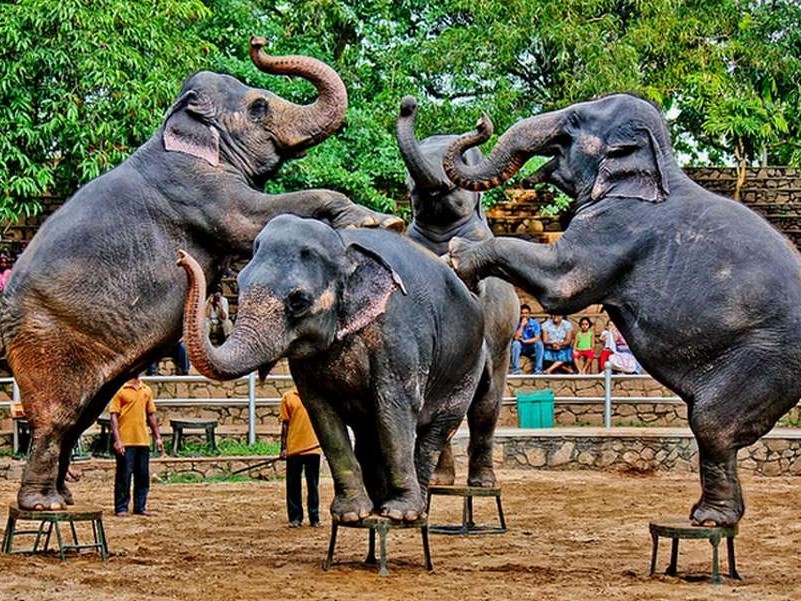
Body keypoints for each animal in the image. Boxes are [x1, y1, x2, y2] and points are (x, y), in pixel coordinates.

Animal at [0, 36, 400, 510]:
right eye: (259, 107)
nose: (258, 41)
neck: (173, 129)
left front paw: (381, 222)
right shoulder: (196, 188)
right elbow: (252, 218)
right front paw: (384, 221)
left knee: (82, 414)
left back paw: (64, 496)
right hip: (44, 341)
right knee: (56, 419)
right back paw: (44, 505)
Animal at [177, 216, 488, 520]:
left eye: (298, 301)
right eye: (239, 285)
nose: (181, 257)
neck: (343, 247)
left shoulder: (396, 335)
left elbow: (394, 406)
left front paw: (399, 514)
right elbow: (322, 414)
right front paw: (351, 515)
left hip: (468, 367)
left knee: (436, 431)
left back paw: (414, 510)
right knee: (369, 433)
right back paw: (378, 504)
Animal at [396, 95, 520, 488]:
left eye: (463, 162)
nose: (409, 103)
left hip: (502, 346)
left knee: (486, 404)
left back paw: (482, 482)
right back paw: (441, 481)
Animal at [440, 92, 800, 524]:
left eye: (574, 120)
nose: (481, 121)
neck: (660, 166)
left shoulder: (615, 226)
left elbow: (563, 283)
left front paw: (456, 255)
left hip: (766, 361)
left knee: (712, 423)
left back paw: (708, 519)